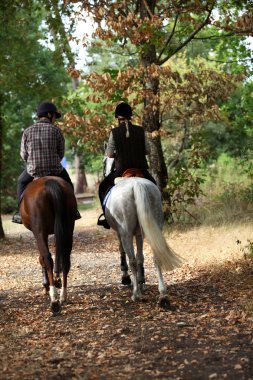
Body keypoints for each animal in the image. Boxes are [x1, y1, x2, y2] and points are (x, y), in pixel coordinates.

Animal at [20, 177, 76, 314]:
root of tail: (50, 182)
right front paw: (57, 279)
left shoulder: (38, 233)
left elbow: (42, 258)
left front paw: (47, 284)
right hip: (68, 228)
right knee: (65, 259)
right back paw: (63, 296)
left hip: (40, 231)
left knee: (47, 258)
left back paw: (54, 300)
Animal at [104, 174, 181, 308]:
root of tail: (135, 184)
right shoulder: (139, 234)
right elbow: (140, 257)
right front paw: (141, 281)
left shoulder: (120, 233)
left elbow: (123, 251)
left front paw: (126, 277)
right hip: (155, 225)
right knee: (156, 256)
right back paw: (162, 295)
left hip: (126, 233)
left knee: (132, 261)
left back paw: (136, 294)